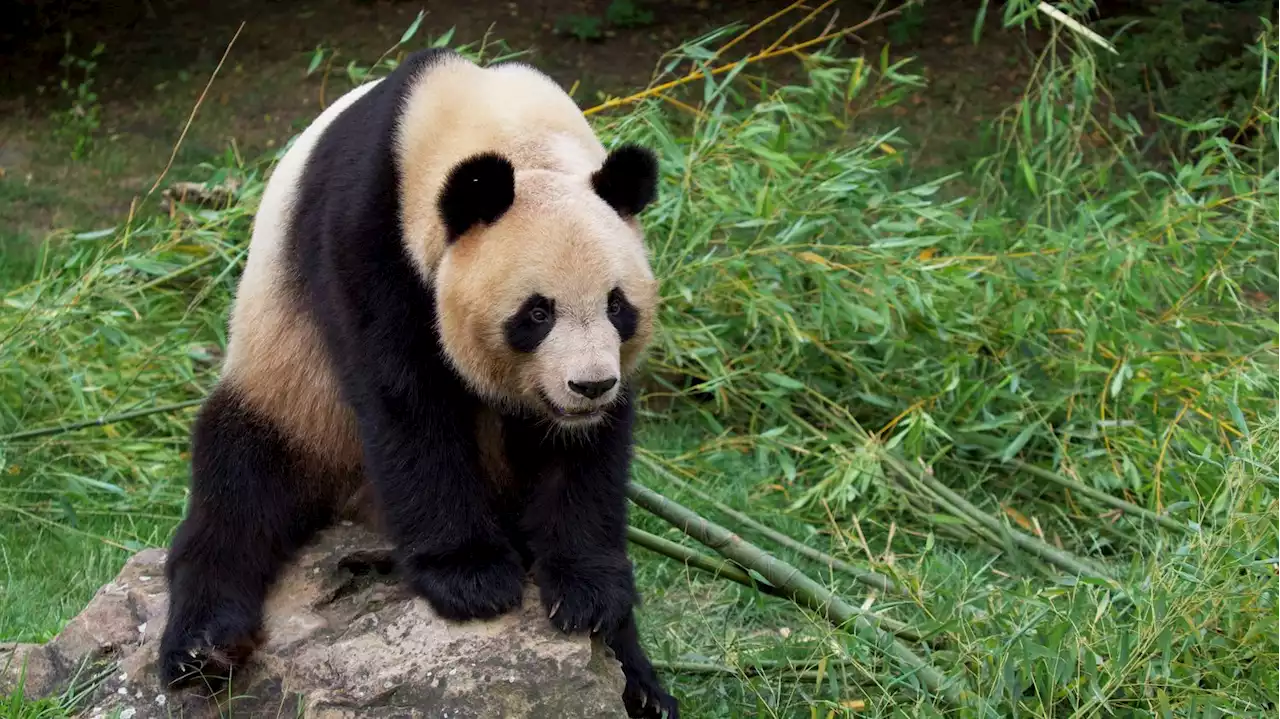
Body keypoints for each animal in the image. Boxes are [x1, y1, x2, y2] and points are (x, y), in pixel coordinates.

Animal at [157, 47, 680, 711]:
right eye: (537, 313)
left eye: (618, 306)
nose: (588, 387)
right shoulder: (366, 237)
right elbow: (406, 401)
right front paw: (471, 578)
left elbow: (589, 454)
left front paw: (588, 595)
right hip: (288, 390)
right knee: (238, 488)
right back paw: (203, 648)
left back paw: (642, 689)